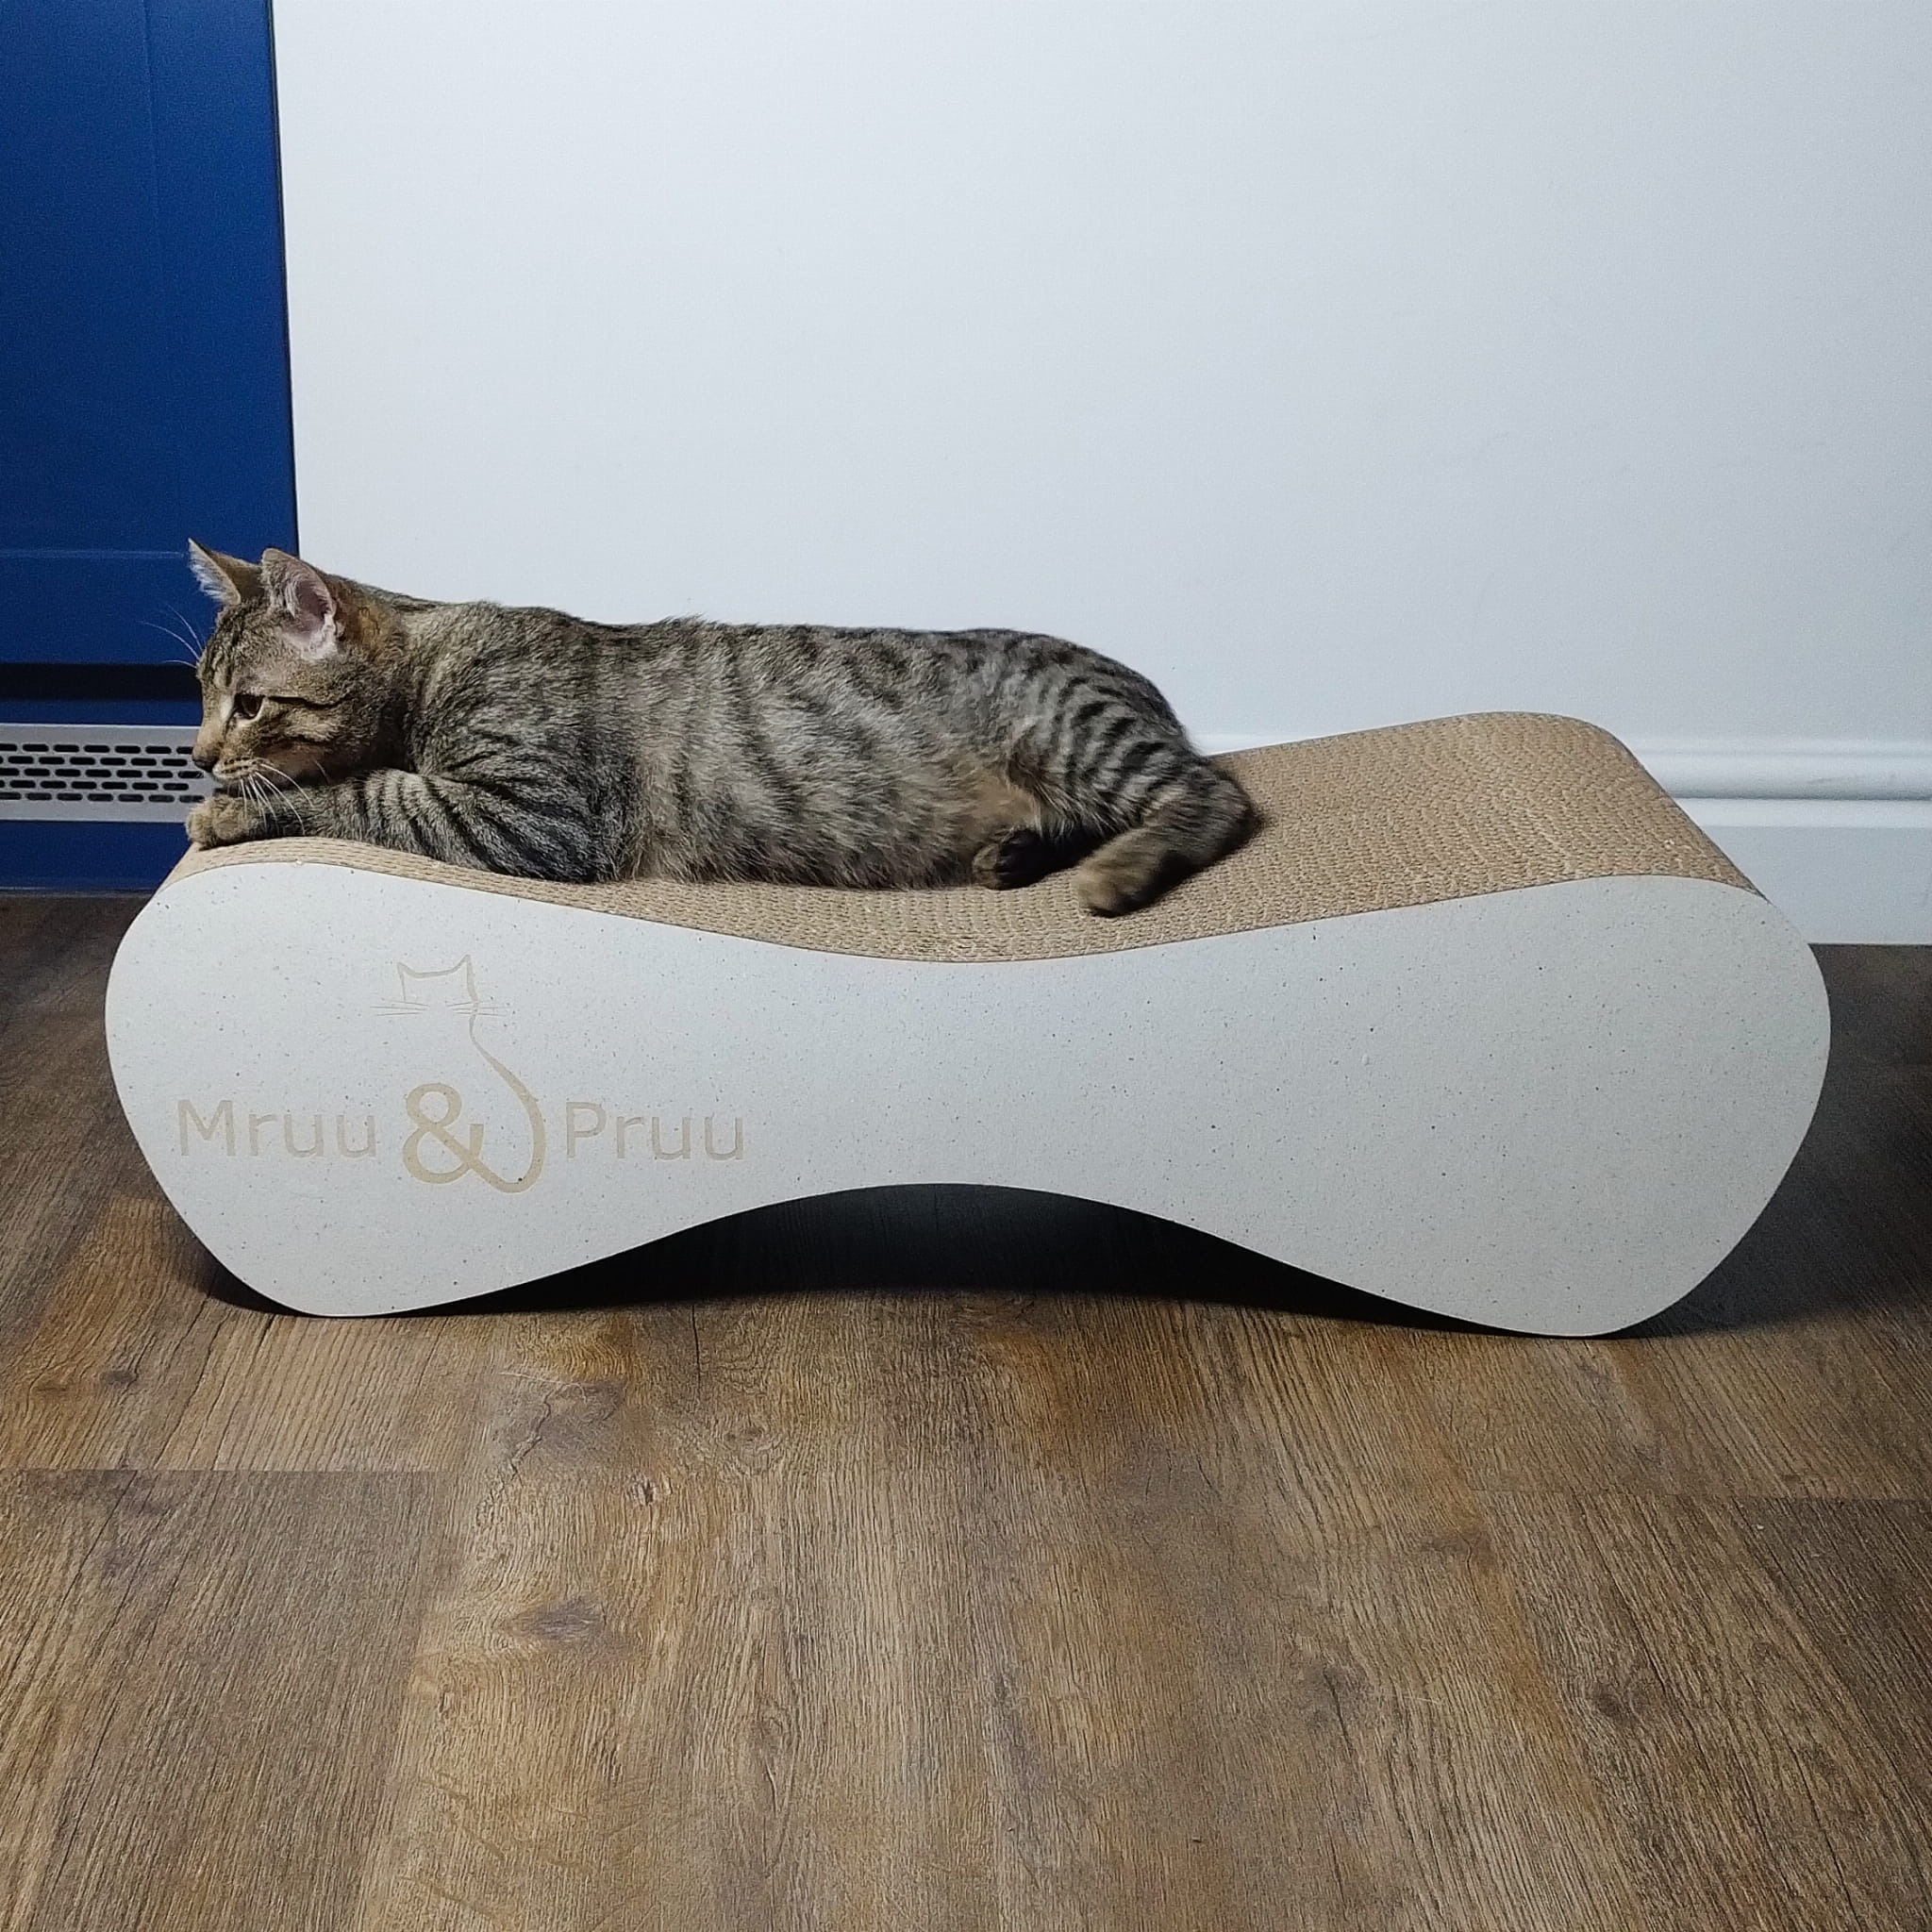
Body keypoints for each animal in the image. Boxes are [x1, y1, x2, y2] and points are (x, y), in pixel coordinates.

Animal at [184, 543, 1257, 915]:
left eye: (249, 704)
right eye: (197, 695)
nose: (195, 752)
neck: (436, 653)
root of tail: (1147, 689)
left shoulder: (536, 816)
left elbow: (364, 791)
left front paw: (234, 807)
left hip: (1069, 734)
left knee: (1218, 797)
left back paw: (1119, 869)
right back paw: (1018, 849)